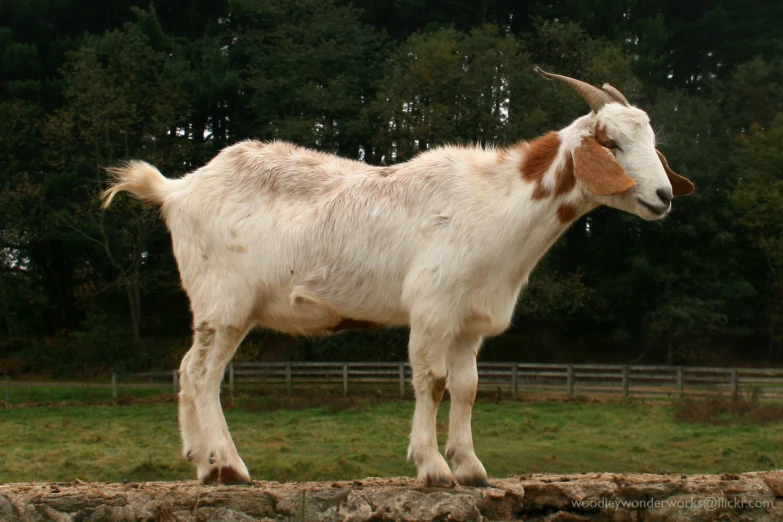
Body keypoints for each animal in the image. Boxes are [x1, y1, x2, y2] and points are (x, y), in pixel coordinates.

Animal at [101, 68, 696, 484]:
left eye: (651, 141)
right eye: (612, 143)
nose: (664, 195)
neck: (497, 203)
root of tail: (178, 189)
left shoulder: (470, 321)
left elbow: (467, 387)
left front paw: (471, 468)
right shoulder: (432, 308)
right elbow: (431, 381)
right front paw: (432, 467)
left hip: (219, 308)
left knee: (186, 369)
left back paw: (203, 465)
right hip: (225, 303)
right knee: (203, 375)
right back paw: (230, 467)